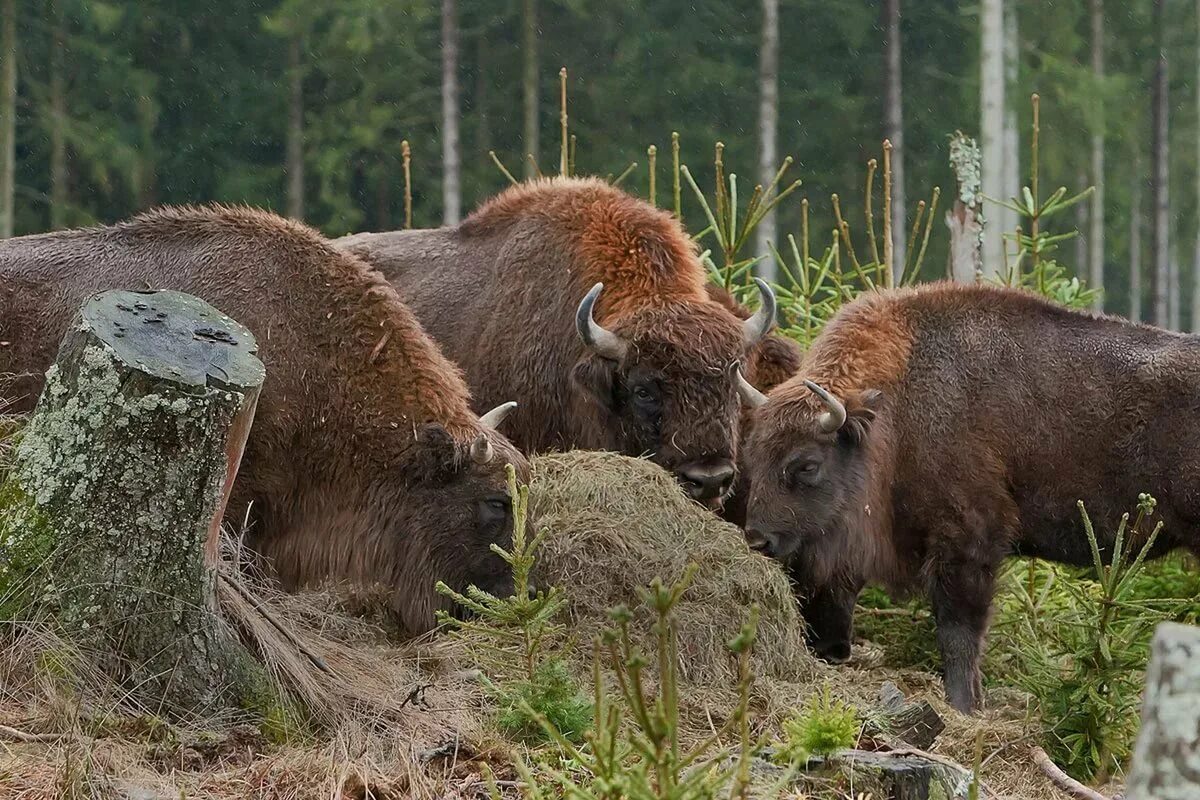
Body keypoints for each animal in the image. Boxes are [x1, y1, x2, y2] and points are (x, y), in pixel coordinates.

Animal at [734, 281, 1195, 714]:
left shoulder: (969, 540)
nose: (759, 539)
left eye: (807, 465)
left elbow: (958, 631)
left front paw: (963, 705)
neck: (896, 407)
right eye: (752, 455)